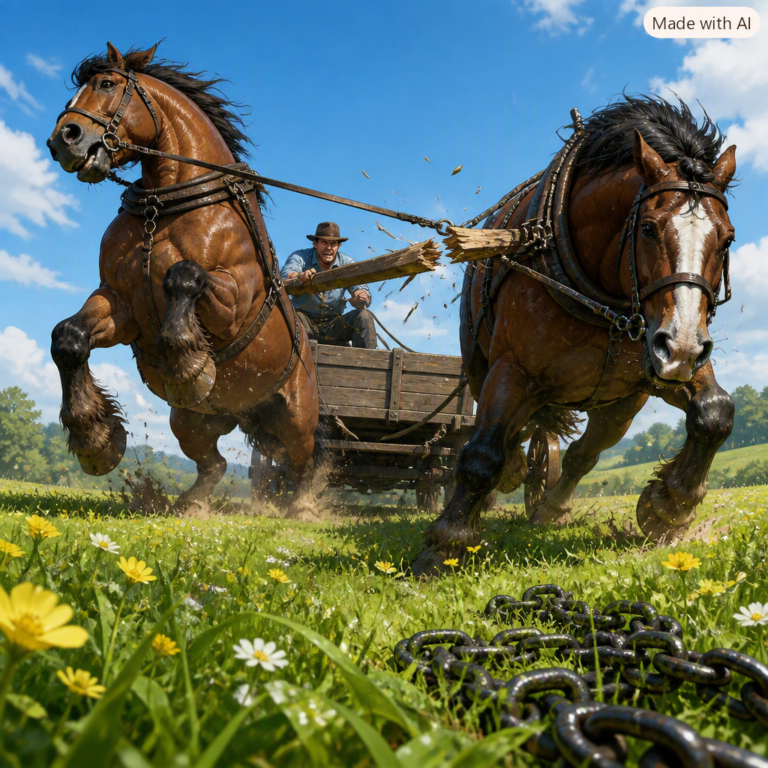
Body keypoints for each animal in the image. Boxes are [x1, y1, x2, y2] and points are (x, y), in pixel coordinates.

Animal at [46, 42, 322, 520]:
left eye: (107, 84)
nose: (62, 139)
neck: (165, 207)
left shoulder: (233, 300)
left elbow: (184, 275)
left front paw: (189, 369)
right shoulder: (120, 304)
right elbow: (69, 337)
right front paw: (94, 438)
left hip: (297, 417)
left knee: (301, 464)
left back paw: (302, 509)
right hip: (191, 421)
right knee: (214, 464)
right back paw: (190, 504)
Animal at [413, 96, 737, 576]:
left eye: (727, 238)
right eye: (648, 228)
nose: (681, 346)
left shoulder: (656, 367)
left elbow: (716, 413)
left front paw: (668, 506)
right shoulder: (511, 370)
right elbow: (480, 454)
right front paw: (446, 544)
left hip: (619, 404)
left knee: (584, 452)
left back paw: (551, 507)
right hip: (481, 367)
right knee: (499, 438)